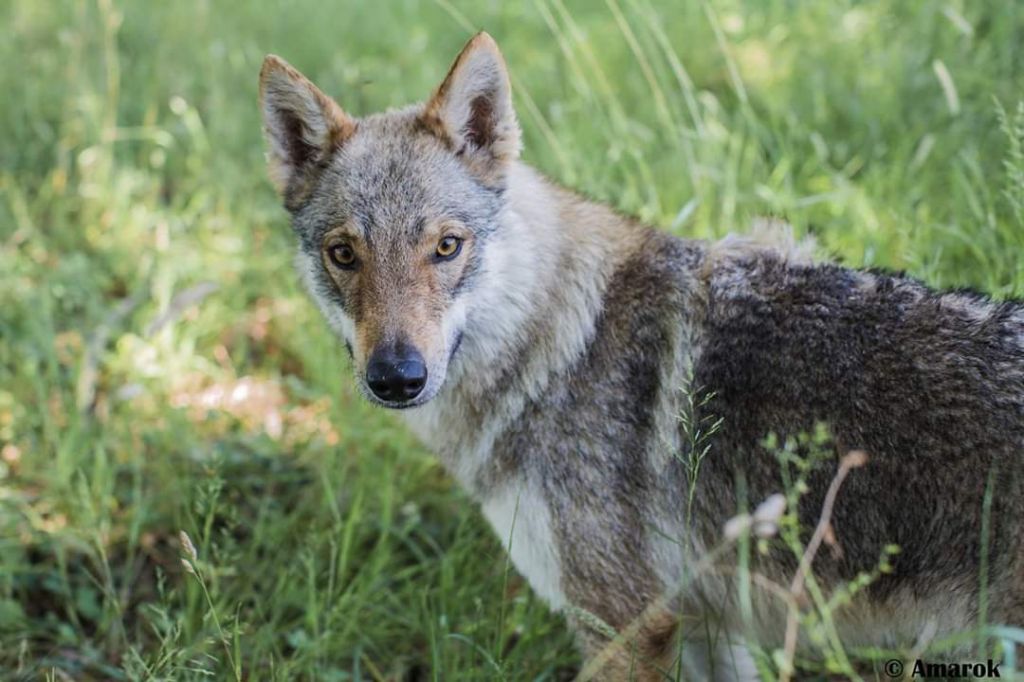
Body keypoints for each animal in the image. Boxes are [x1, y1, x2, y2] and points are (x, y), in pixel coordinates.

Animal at [258, 30, 1024, 675]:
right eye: (344, 254)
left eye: (446, 247)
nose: (396, 377)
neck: (558, 349)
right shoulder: (708, 628)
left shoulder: (623, 628)